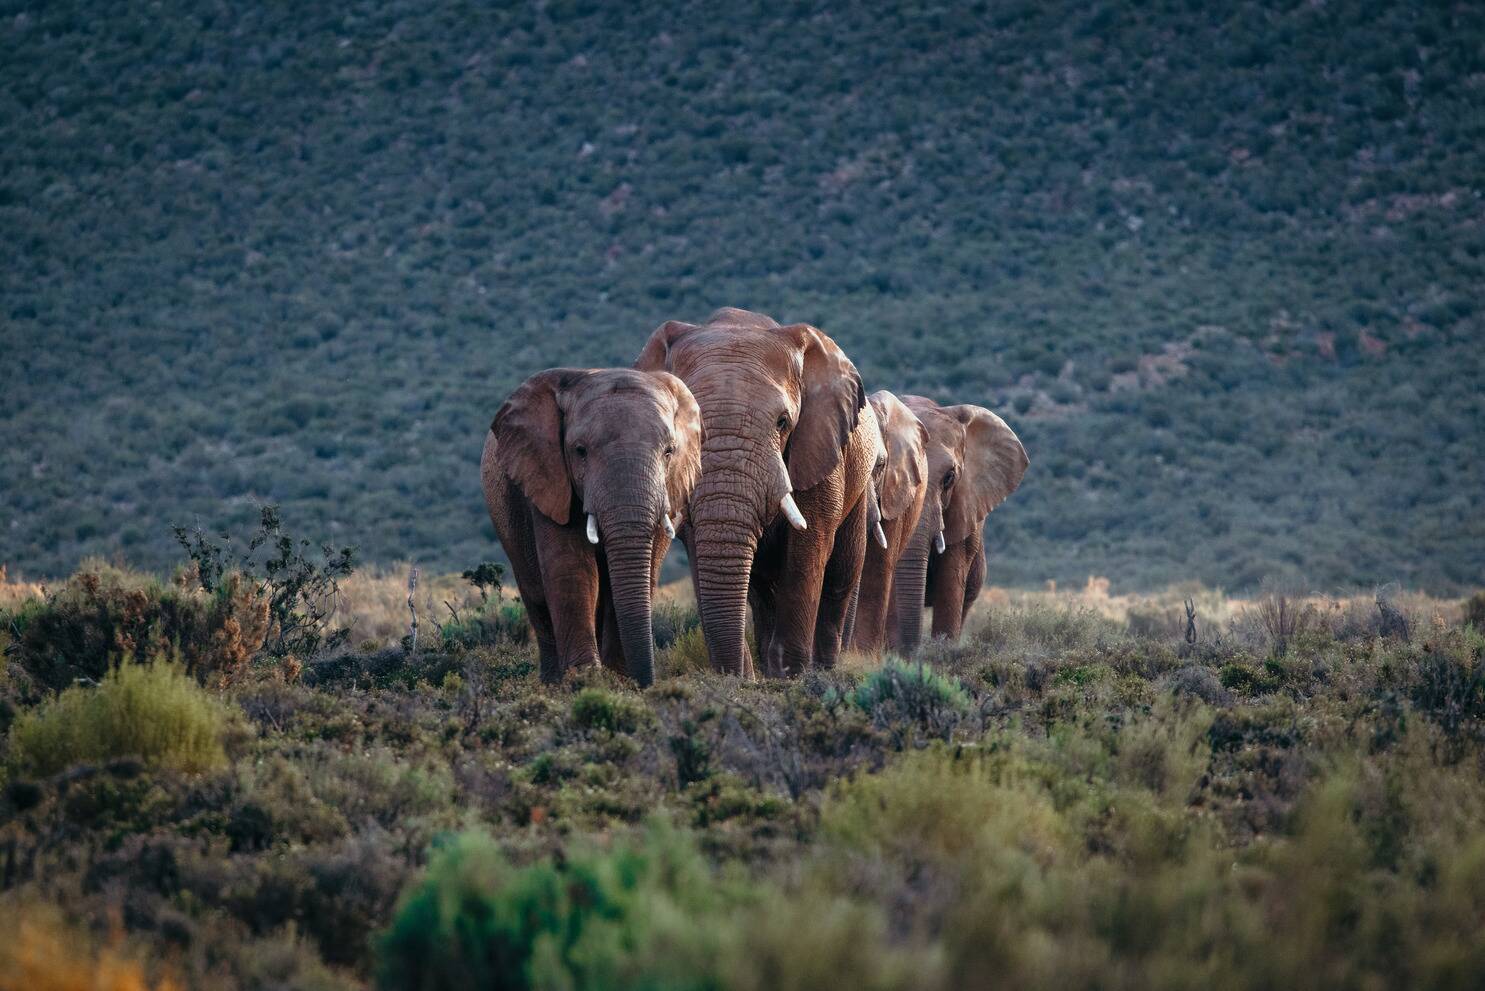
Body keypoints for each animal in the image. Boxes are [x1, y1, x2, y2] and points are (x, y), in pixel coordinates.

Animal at [481, 368, 700, 686]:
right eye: (580, 451)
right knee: (536, 595)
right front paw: (584, 680)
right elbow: (571, 567)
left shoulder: (669, 489)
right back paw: (551, 683)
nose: (647, 683)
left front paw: (618, 679)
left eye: (669, 452)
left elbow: (646, 569)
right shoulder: (548, 476)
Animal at [632, 307, 873, 683]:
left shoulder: (817, 444)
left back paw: (819, 668)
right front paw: (753, 676)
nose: (740, 678)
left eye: (782, 422)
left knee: (840, 575)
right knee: (762, 591)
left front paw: (791, 677)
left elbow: (808, 549)